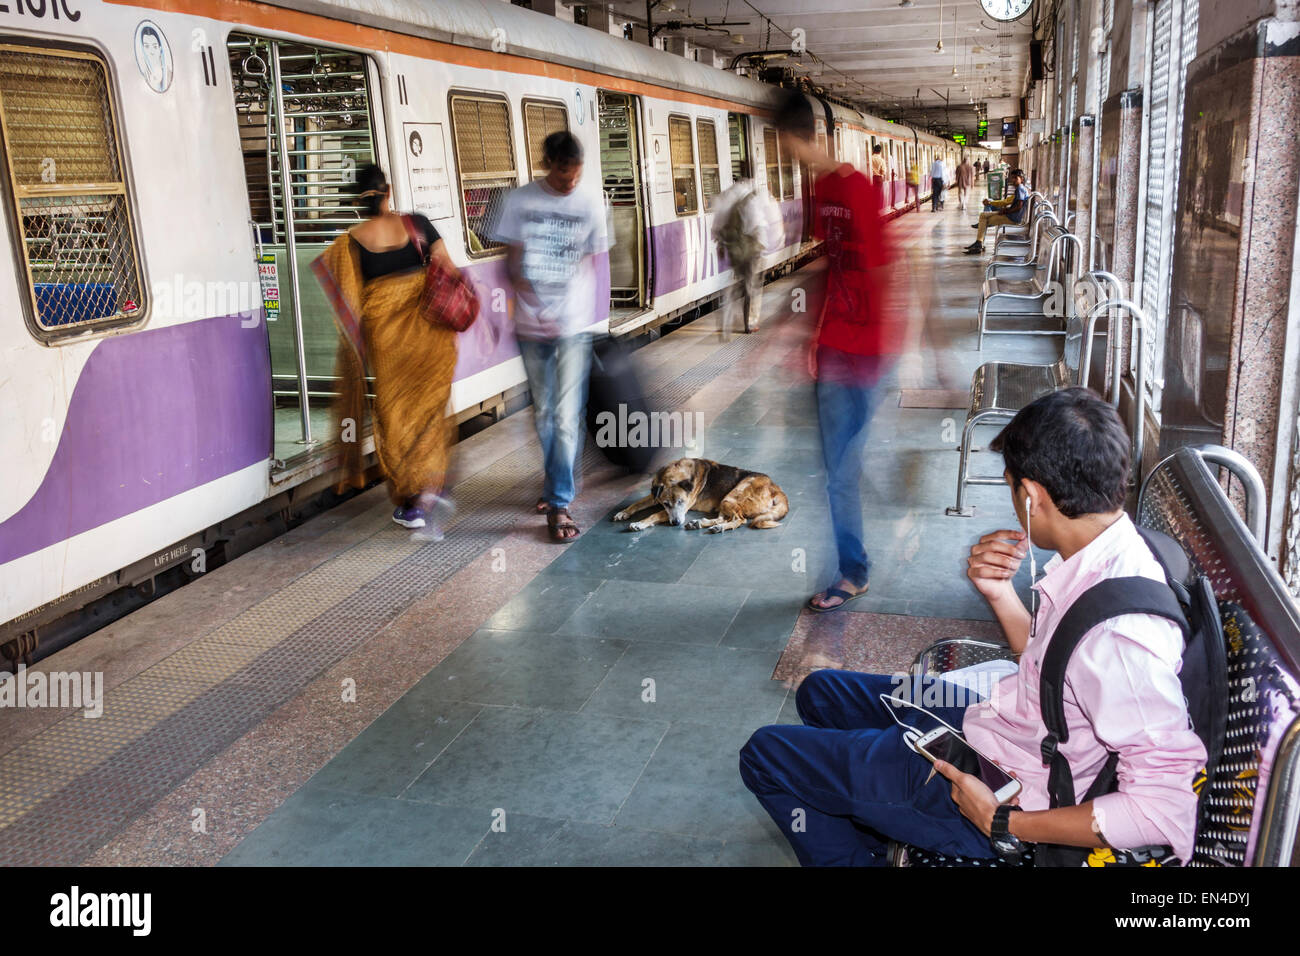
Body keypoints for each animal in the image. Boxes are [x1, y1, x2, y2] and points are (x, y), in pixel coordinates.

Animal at [611, 457, 790, 535]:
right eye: (666, 503)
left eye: (681, 502)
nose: (676, 523)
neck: (672, 475)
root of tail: (776, 488)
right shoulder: (655, 495)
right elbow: (637, 503)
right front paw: (623, 512)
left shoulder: (683, 508)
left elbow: (653, 515)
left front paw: (640, 523)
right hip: (725, 502)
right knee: (724, 518)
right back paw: (700, 523)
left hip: (730, 497)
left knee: (739, 519)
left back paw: (718, 528)